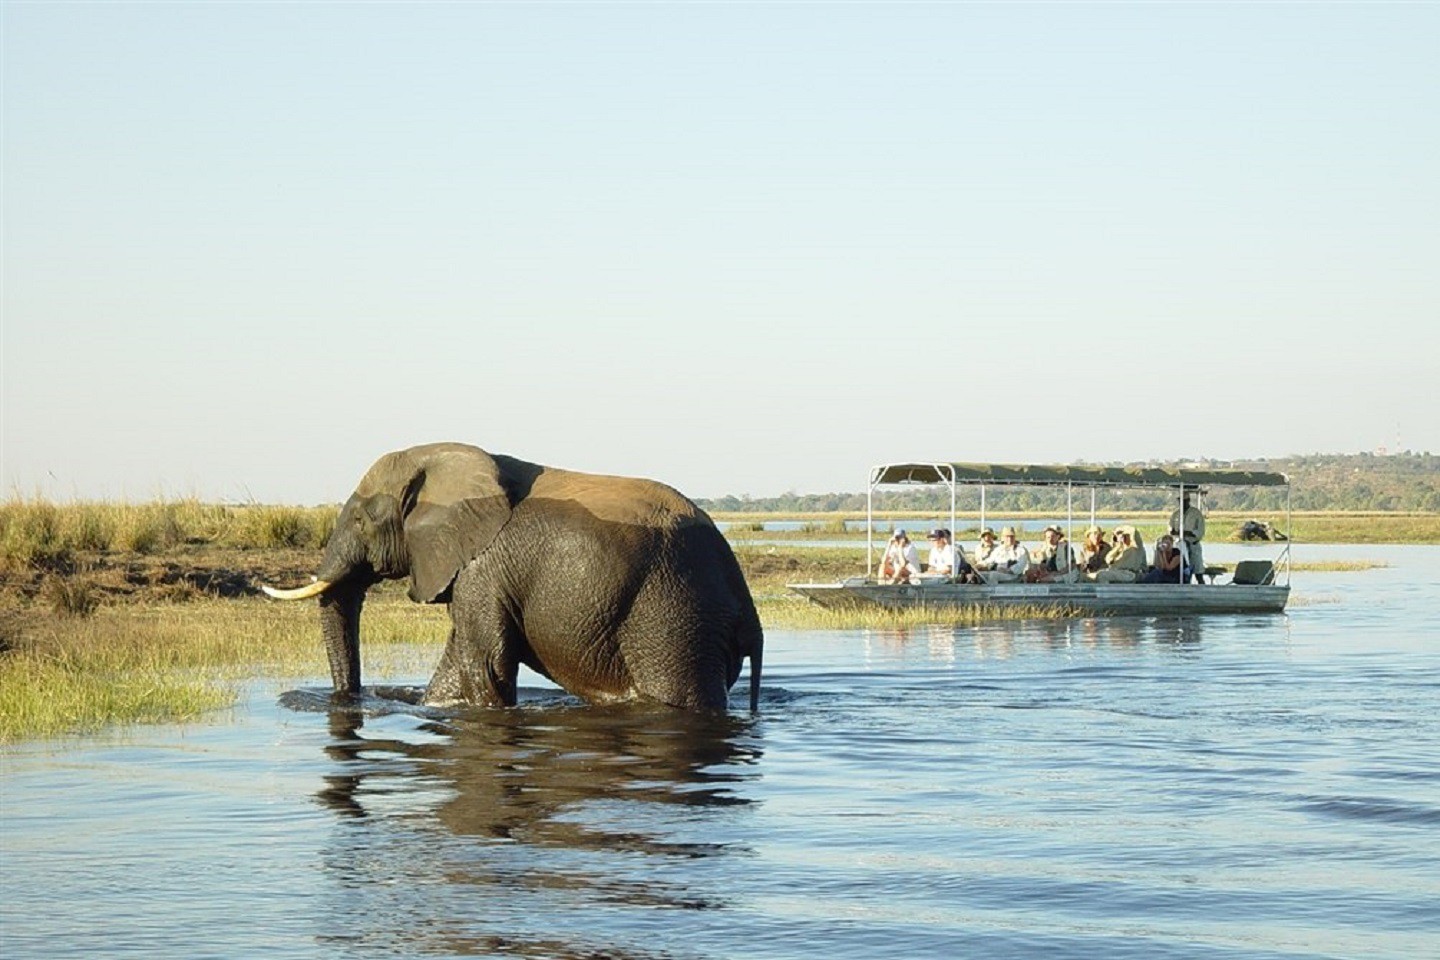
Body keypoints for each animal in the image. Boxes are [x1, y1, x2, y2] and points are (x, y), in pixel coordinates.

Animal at [262, 446, 766, 711]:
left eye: (361, 520)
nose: (349, 699)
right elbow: (459, 664)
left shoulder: (484, 569)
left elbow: (486, 664)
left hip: (673, 617)